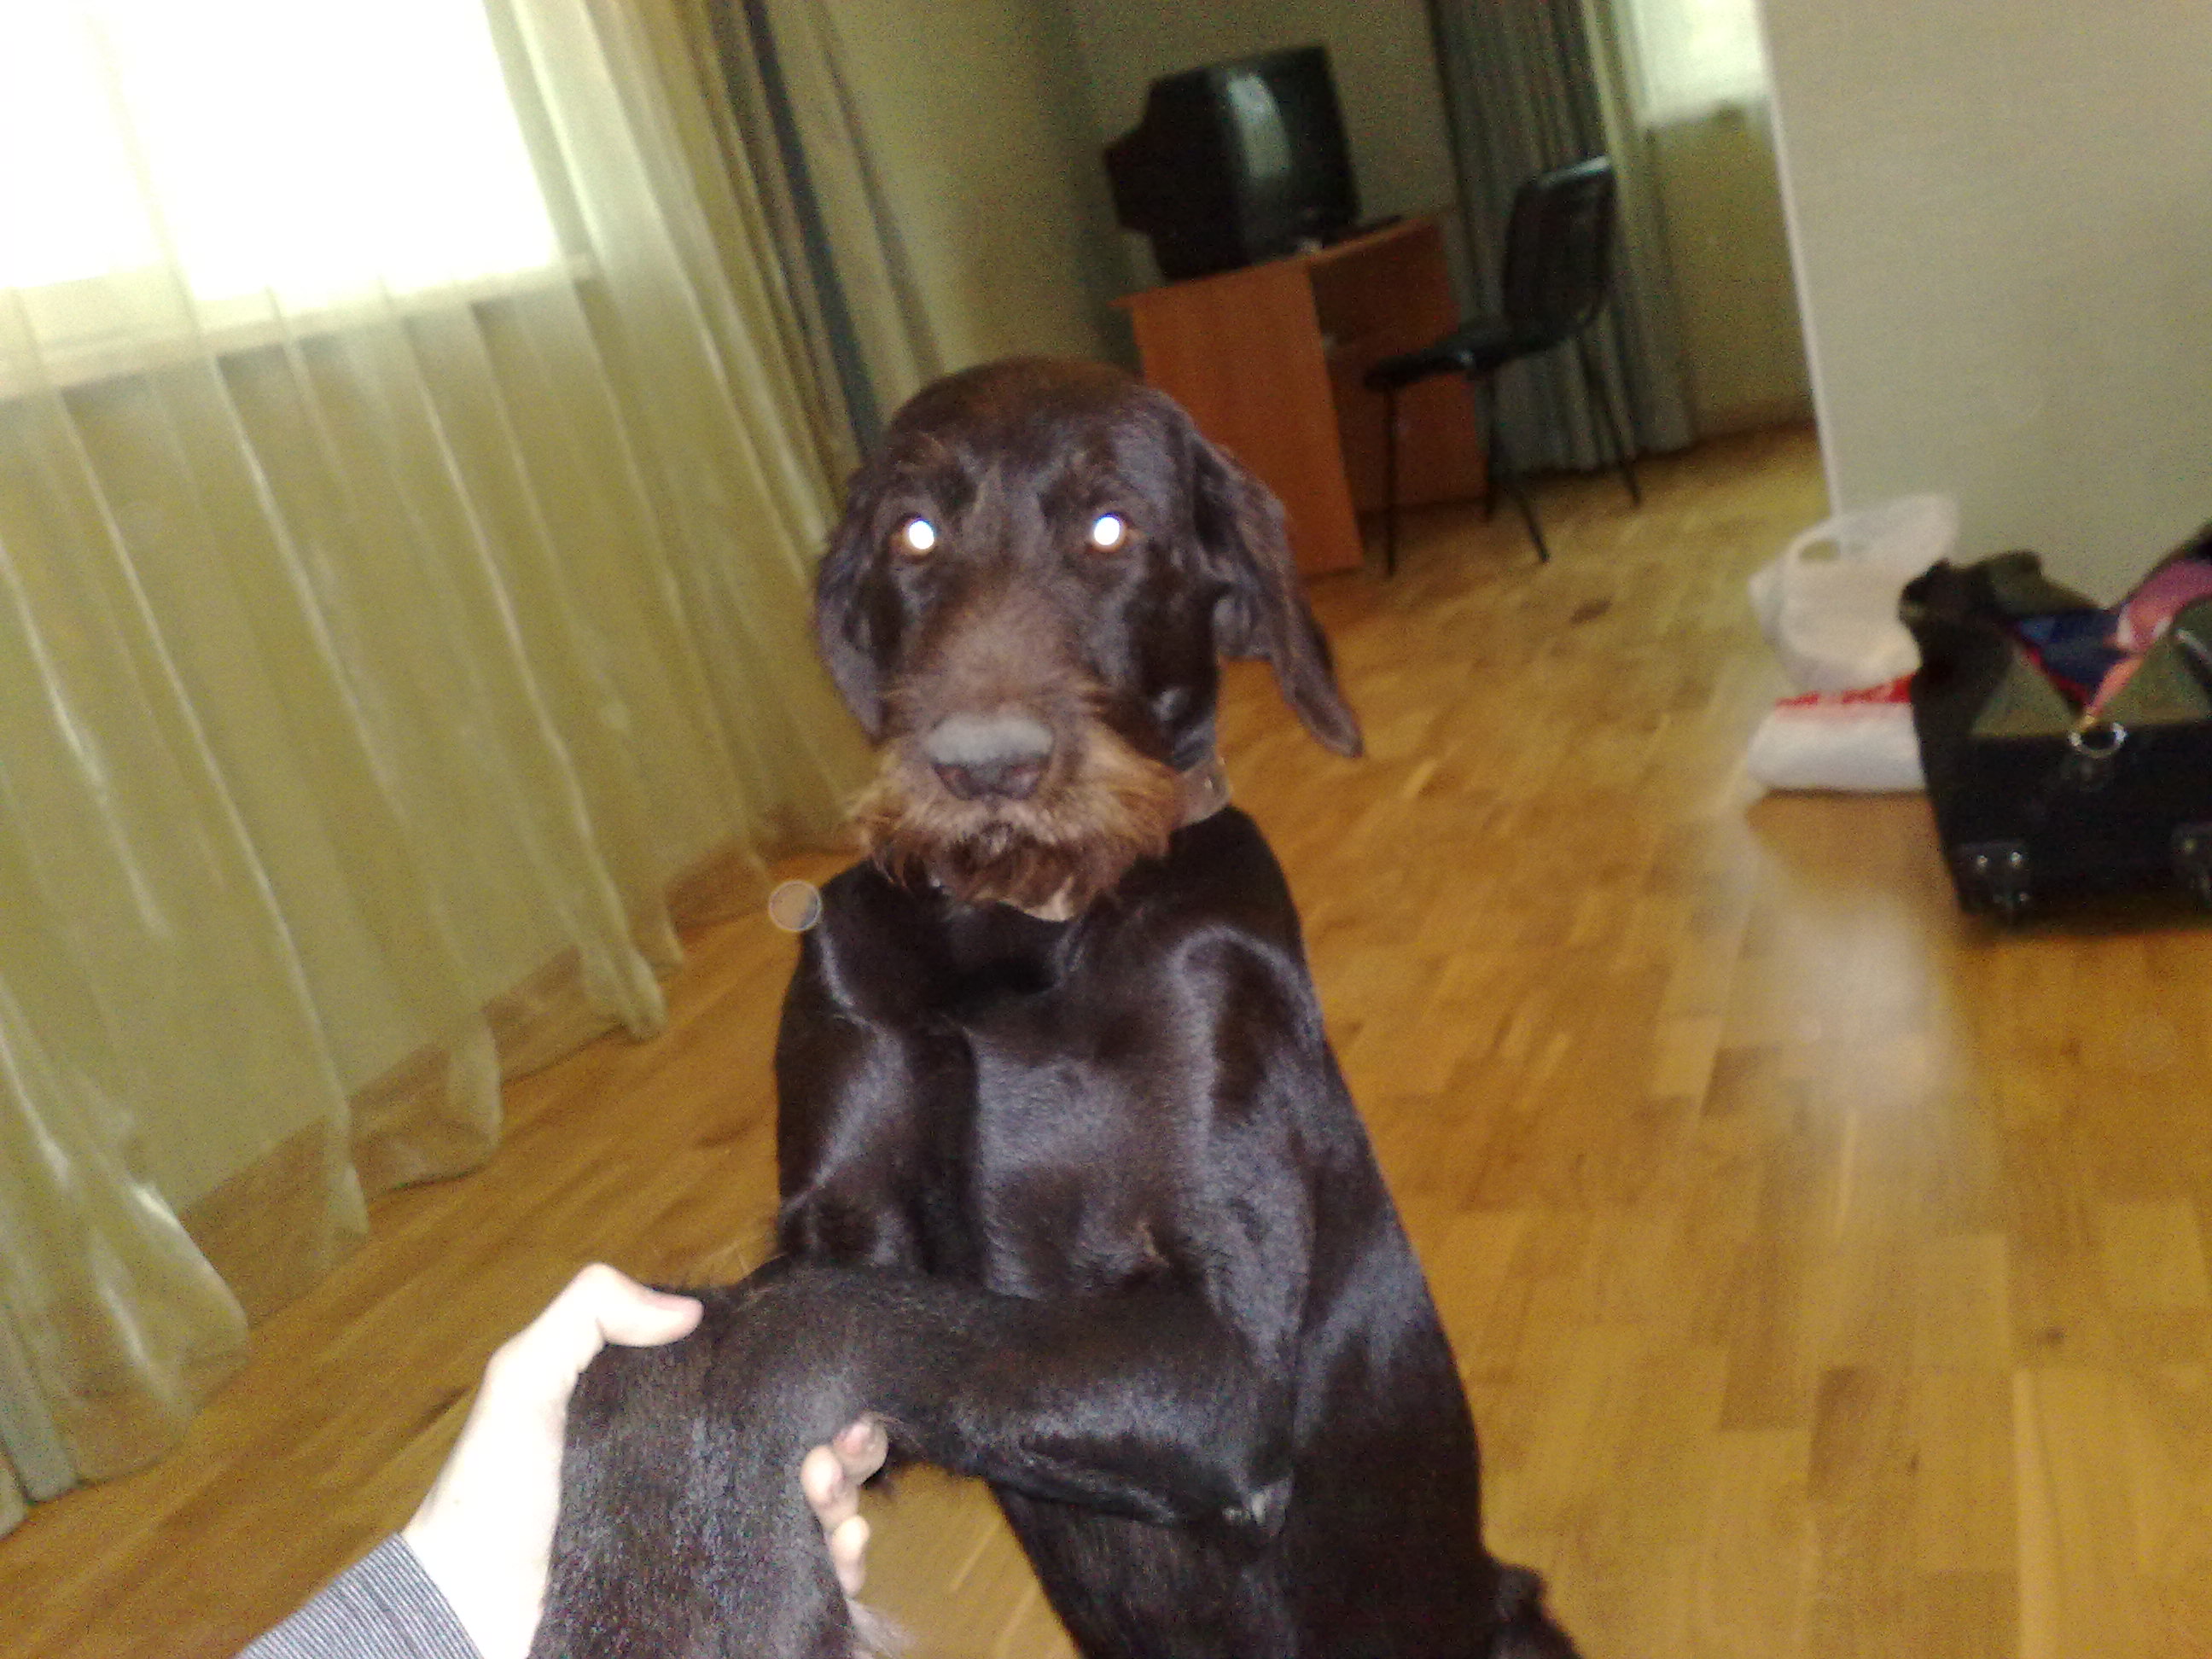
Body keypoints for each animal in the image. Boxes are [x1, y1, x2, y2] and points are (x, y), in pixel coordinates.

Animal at [532, 359, 1583, 1659]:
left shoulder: (1227, 1368)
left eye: (1111, 527)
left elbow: (790, 1326)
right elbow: (718, 1323)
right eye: (913, 532)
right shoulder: (845, 1225)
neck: (1013, 940)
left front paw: (683, 1586)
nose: (984, 768)